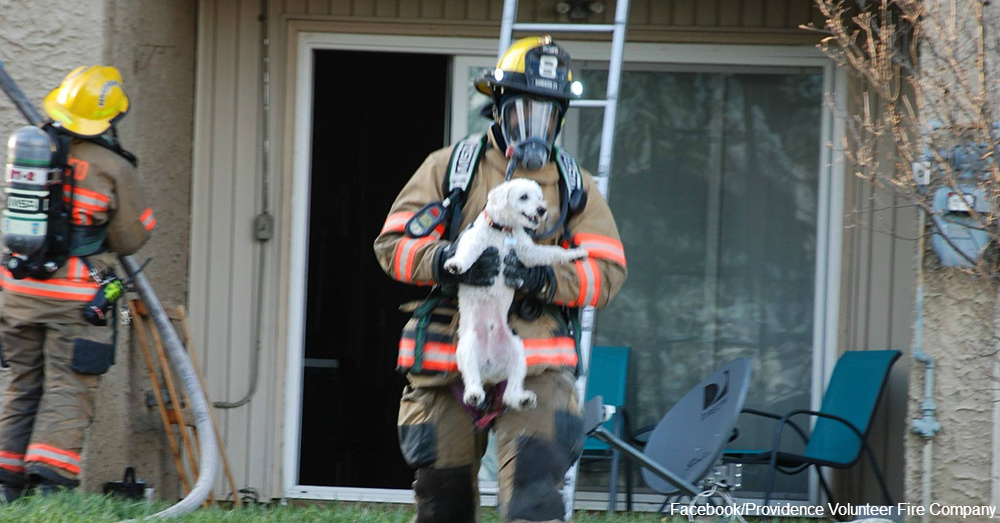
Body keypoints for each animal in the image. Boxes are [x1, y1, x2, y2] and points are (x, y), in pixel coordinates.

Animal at [0, 66, 155, 504]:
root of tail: (26, 267)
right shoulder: (121, 175)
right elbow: (130, 228)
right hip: (78, 330)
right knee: (70, 390)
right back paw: (50, 485)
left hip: (19, 323)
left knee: (21, 391)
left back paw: (9, 485)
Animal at [444, 179, 584, 410]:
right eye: (523, 197)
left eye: (539, 197)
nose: (542, 209)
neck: (503, 231)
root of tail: (490, 370)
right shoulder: (474, 241)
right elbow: (467, 254)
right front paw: (456, 265)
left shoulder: (527, 253)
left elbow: (552, 253)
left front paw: (575, 253)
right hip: (468, 347)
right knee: (472, 377)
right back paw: (474, 394)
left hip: (518, 352)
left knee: (511, 390)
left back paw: (523, 398)